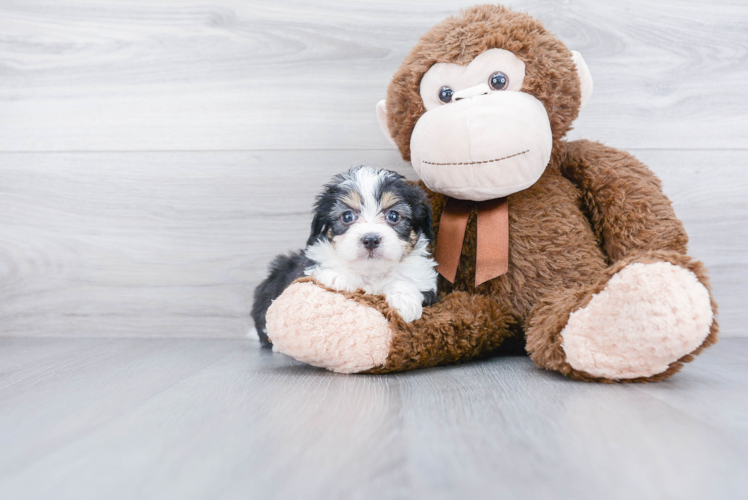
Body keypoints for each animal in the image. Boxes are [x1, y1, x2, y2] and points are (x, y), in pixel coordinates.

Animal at [251, 166, 438, 346]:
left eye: (393, 215)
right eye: (347, 216)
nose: (371, 239)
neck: (371, 272)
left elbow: (407, 281)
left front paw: (404, 301)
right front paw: (336, 277)